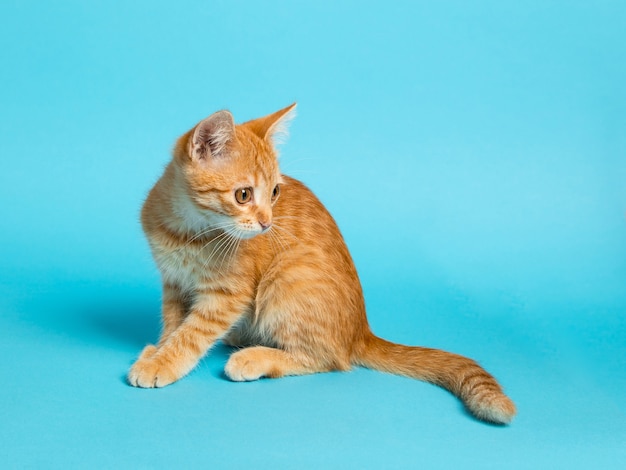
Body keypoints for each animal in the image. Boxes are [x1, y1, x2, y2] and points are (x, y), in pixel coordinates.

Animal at [129, 104, 516, 424]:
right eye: (243, 195)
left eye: (274, 192)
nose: (267, 223)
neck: (187, 232)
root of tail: (360, 332)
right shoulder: (174, 283)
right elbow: (174, 324)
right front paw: (158, 351)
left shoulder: (227, 296)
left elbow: (192, 334)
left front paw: (163, 363)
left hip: (287, 278)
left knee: (328, 359)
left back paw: (255, 358)